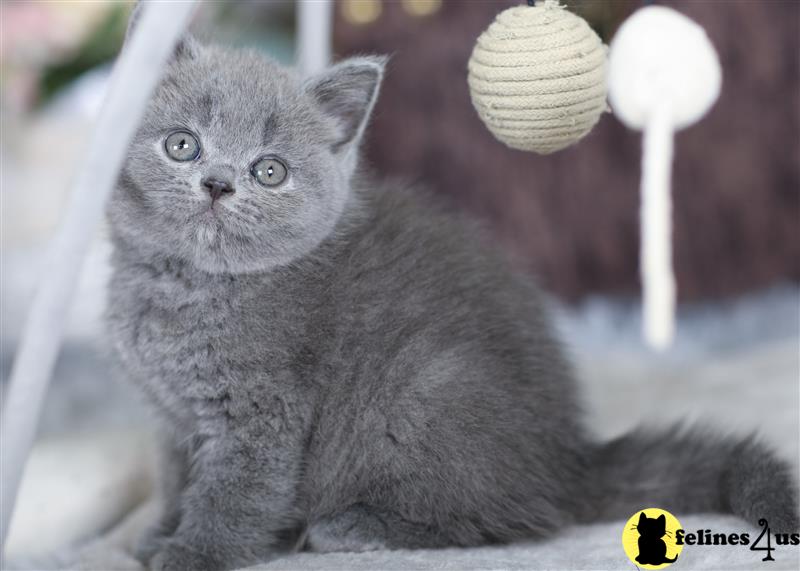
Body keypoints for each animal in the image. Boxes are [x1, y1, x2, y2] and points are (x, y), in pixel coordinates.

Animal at [106, 8, 800, 571]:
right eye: (182, 144)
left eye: (269, 172)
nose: (218, 184)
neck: (182, 288)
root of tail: (569, 460)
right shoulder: (169, 414)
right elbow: (179, 477)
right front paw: (161, 531)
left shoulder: (262, 411)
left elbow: (235, 492)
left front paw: (193, 553)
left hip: (421, 393)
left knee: (516, 520)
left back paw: (351, 527)